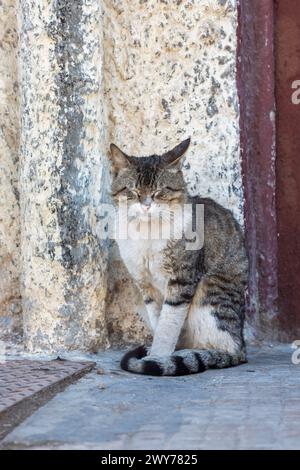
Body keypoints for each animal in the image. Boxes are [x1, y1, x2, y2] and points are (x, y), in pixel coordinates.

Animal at [109, 138, 247, 376]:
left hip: (211, 290)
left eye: (159, 191)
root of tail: (243, 346)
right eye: (133, 191)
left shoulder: (182, 280)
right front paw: (158, 354)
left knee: (224, 348)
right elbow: (159, 320)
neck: (147, 234)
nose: (146, 206)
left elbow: (168, 325)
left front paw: (157, 358)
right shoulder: (146, 285)